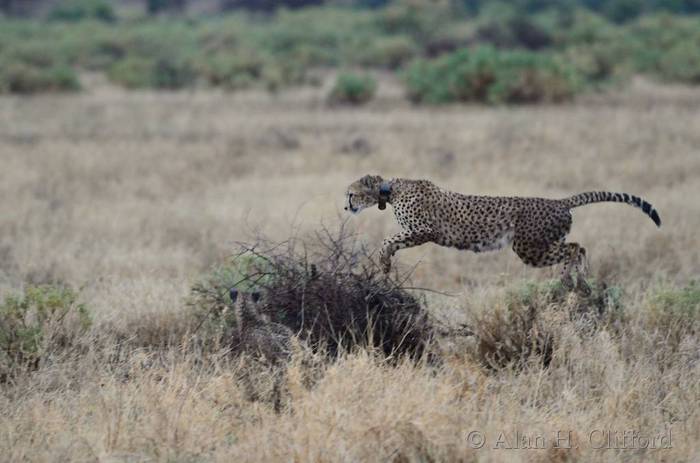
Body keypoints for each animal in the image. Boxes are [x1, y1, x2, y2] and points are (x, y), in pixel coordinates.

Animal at [344, 175, 660, 294]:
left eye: (350, 193)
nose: (346, 206)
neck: (390, 189)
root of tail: (559, 202)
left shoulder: (424, 230)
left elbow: (388, 240)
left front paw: (384, 261)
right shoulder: (418, 232)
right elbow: (391, 242)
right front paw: (385, 265)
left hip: (528, 247)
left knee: (574, 248)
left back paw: (567, 280)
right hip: (540, 244)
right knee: (578, 247)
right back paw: (581, 281)